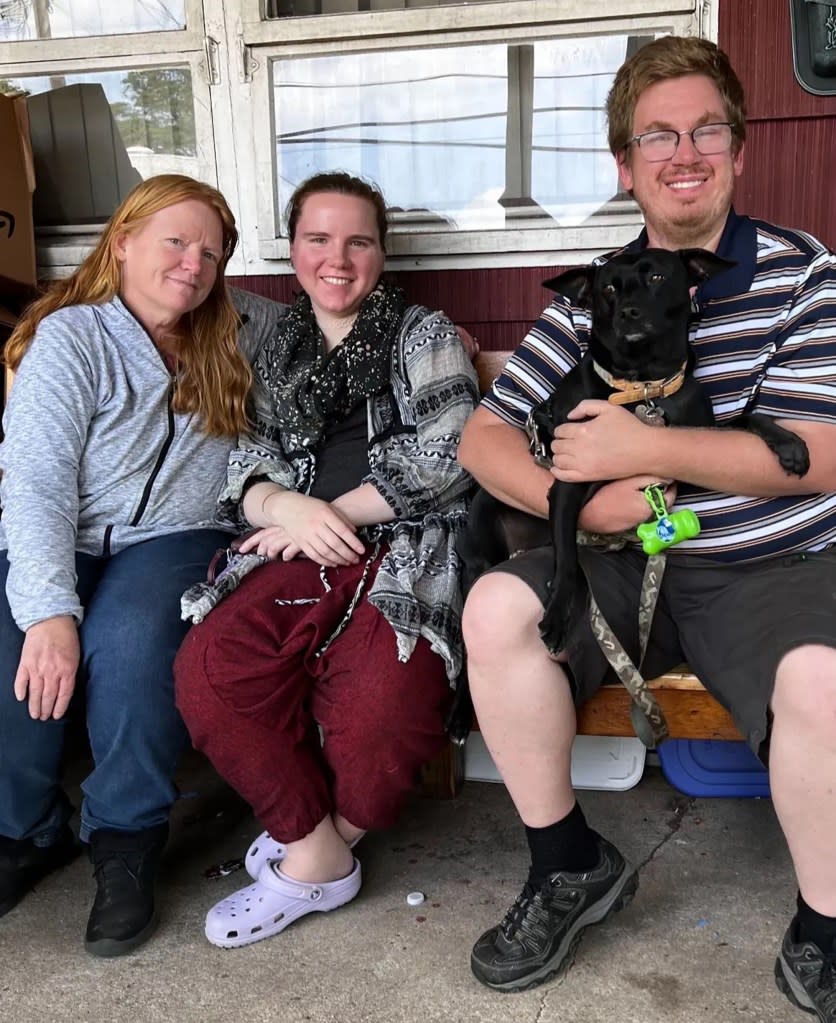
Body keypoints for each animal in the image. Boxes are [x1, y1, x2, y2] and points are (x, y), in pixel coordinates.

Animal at [456, 247, 810, 662]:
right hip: (481, 537)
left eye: (656, 277)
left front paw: (787, 442)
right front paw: (558, 615)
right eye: (608, 288)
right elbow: (569, 563)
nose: (628, 311)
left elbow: (745, 418)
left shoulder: (690, 449)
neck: (644, 387)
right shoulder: (567, 485)